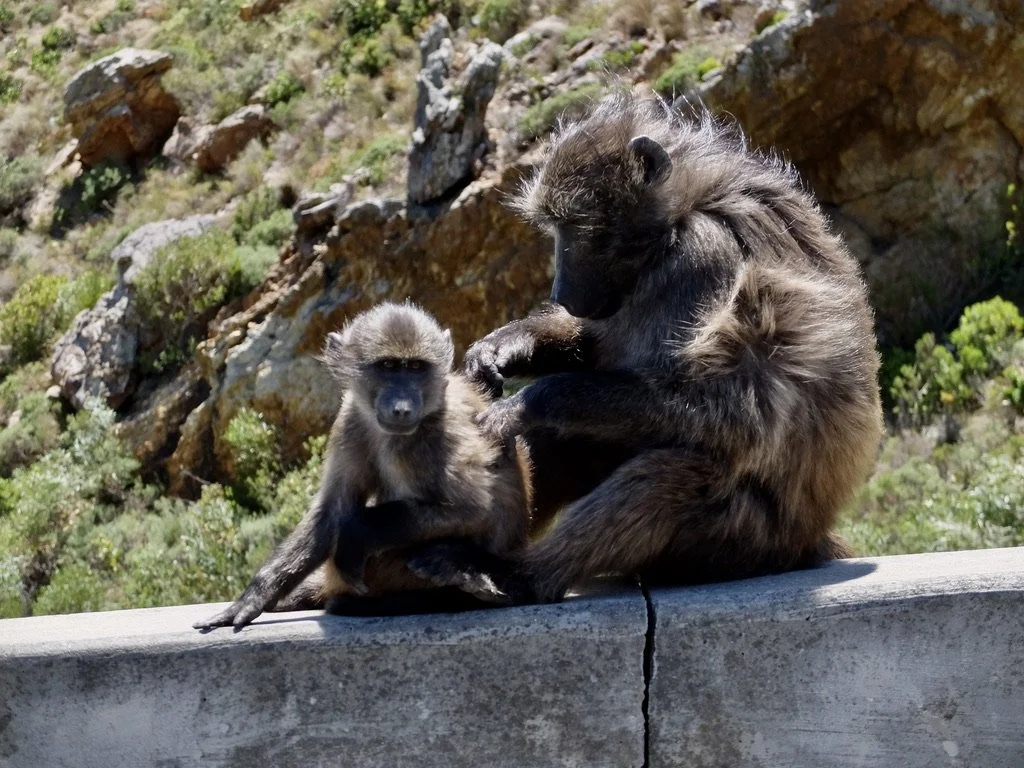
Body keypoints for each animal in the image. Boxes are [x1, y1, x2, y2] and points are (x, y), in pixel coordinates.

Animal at [194, 302, 532, 630]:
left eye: (415, 367)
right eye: (388, 366)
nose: (402, 408)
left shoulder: (441, 431)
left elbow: (475, 510)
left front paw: (358, 532)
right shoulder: (351, 419)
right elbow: (332, 511)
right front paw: (255, 596)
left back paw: (459, 579)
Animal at [463, 91, 883, 603]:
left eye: (576, 226)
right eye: (556, 227)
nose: (560, 292)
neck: (684, 214)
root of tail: (809, 539)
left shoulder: (703, 257)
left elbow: (738, 414)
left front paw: (529, 401)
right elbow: (595, 347)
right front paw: (503, 348)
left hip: (742, 540)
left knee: (665, 478)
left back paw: (520, 579)